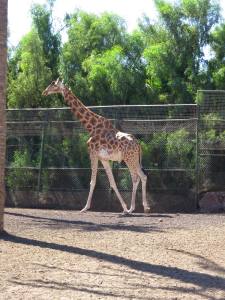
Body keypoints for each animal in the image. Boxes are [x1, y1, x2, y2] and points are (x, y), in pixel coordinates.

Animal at [42, 78, 150, 213]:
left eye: (53, 85)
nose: (44, 92)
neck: (91, 127)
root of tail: (139, 145)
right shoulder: (103, 158)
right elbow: (112, 182)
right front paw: (124, 208)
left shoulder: (92, 154)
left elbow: (92, 182)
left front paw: (85, 208)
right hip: (134, 159)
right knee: (142, 176)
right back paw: (142, 207)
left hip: (129, 159)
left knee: (136, 177)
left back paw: (134, 208)